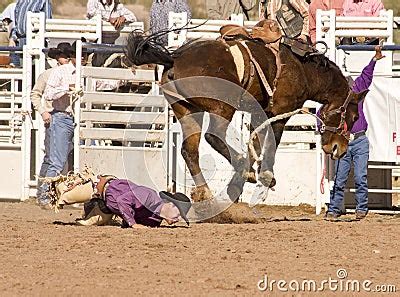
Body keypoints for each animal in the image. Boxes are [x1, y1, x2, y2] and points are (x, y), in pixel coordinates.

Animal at [124, 19, 366, 202]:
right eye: (354, 116)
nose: (339, 149)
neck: (303, 69)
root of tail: (175, 58)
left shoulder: (257, 112)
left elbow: (257, 142)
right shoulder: (278, 114)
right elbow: (269, 145)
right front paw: (264, 176)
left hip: (186, 109)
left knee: (189, 150)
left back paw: (205, 191)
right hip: (222, 106)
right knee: (213, 136)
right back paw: (241, 167)